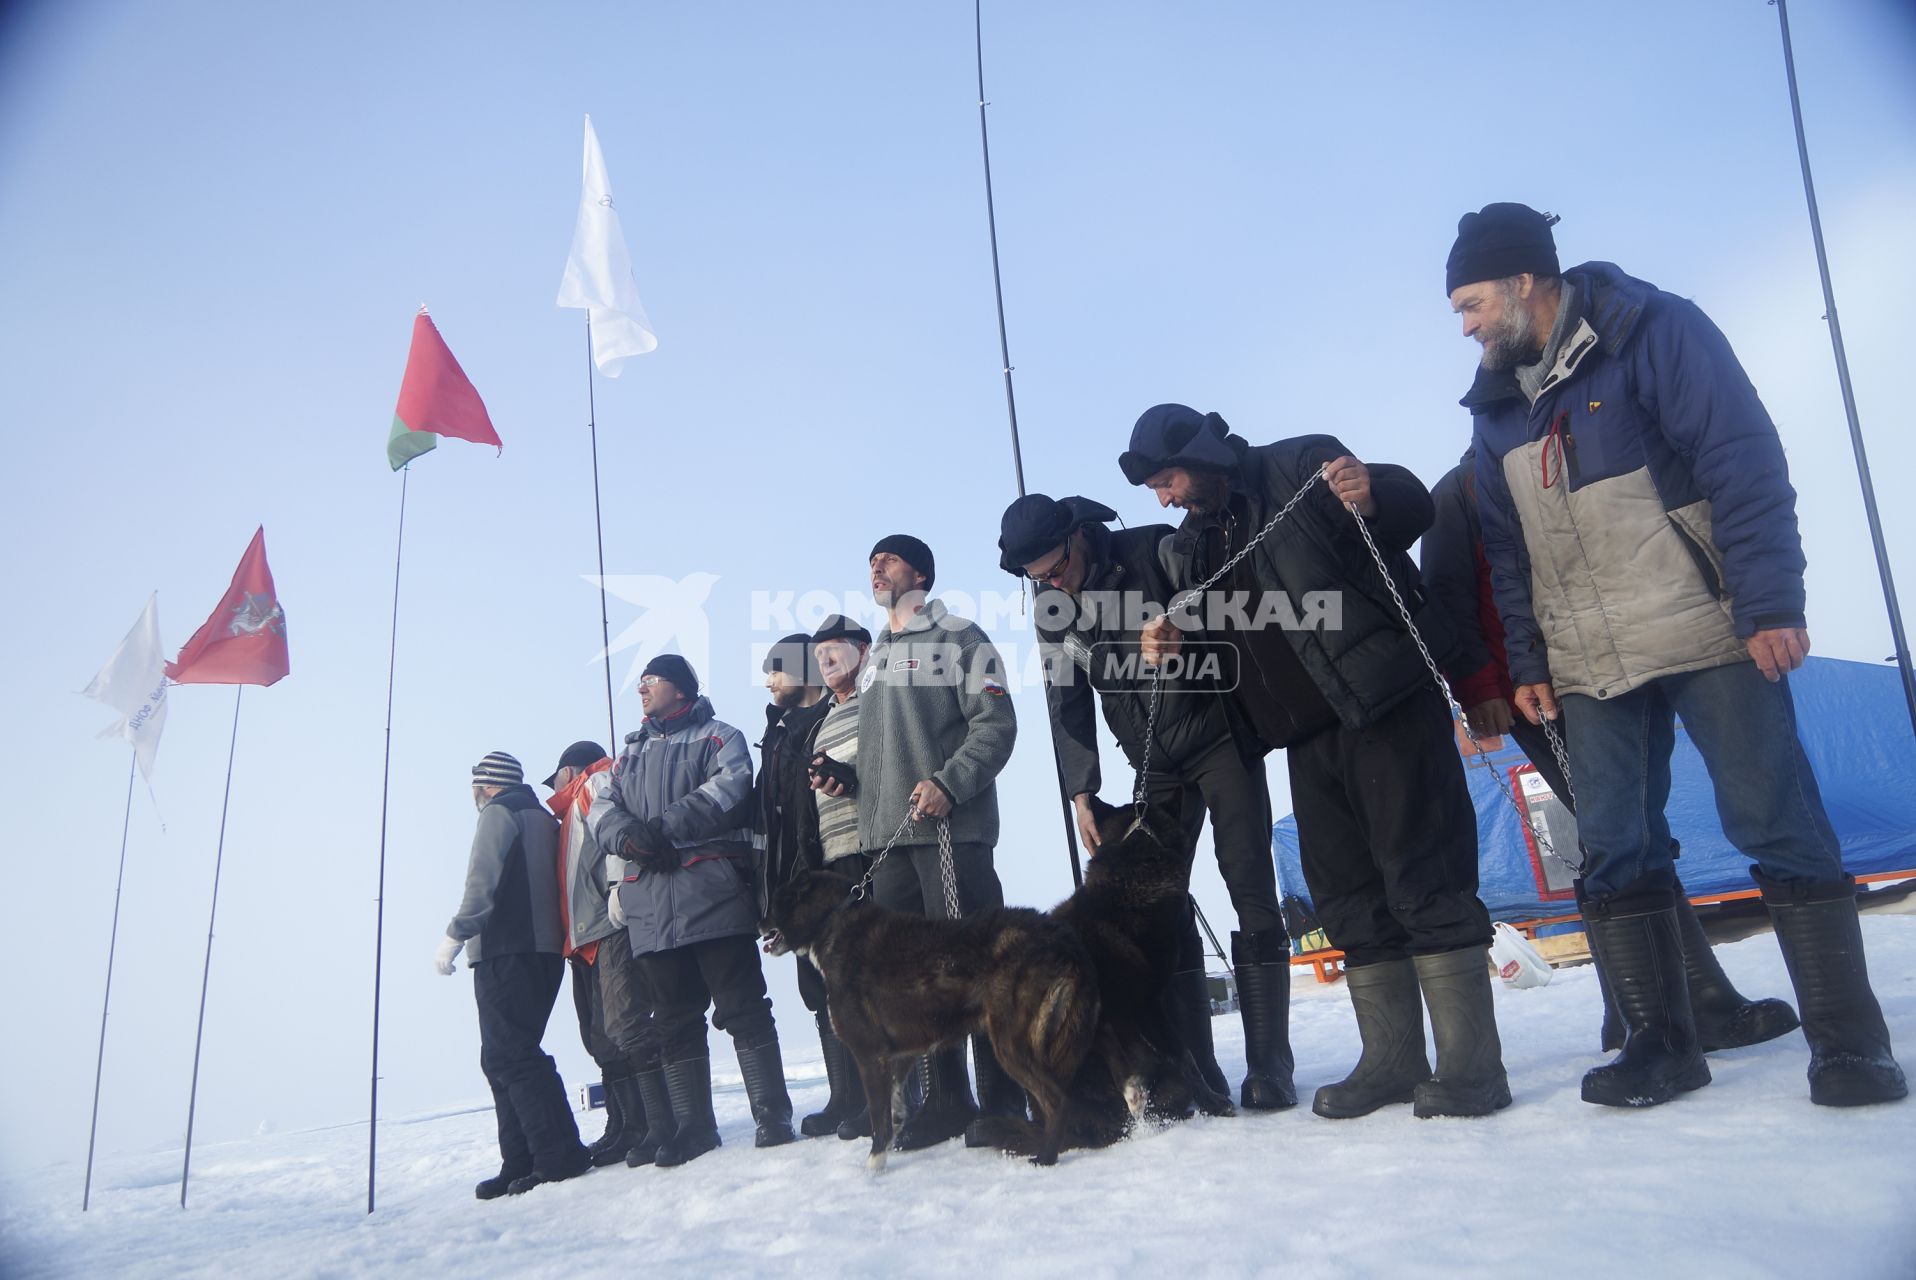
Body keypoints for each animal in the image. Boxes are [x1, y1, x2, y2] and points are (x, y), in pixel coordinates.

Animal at [758, 869, 1103, 1172]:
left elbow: (879, 1119)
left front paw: (872, 1167)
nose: (759, 924)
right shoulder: (900, 1056)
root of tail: (1060, 937)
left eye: (774, 903)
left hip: (1010, 1045)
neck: (834, 922)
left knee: (1057, 1101)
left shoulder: (869, 1055)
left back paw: (1045, 1157)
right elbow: (894, 1112)